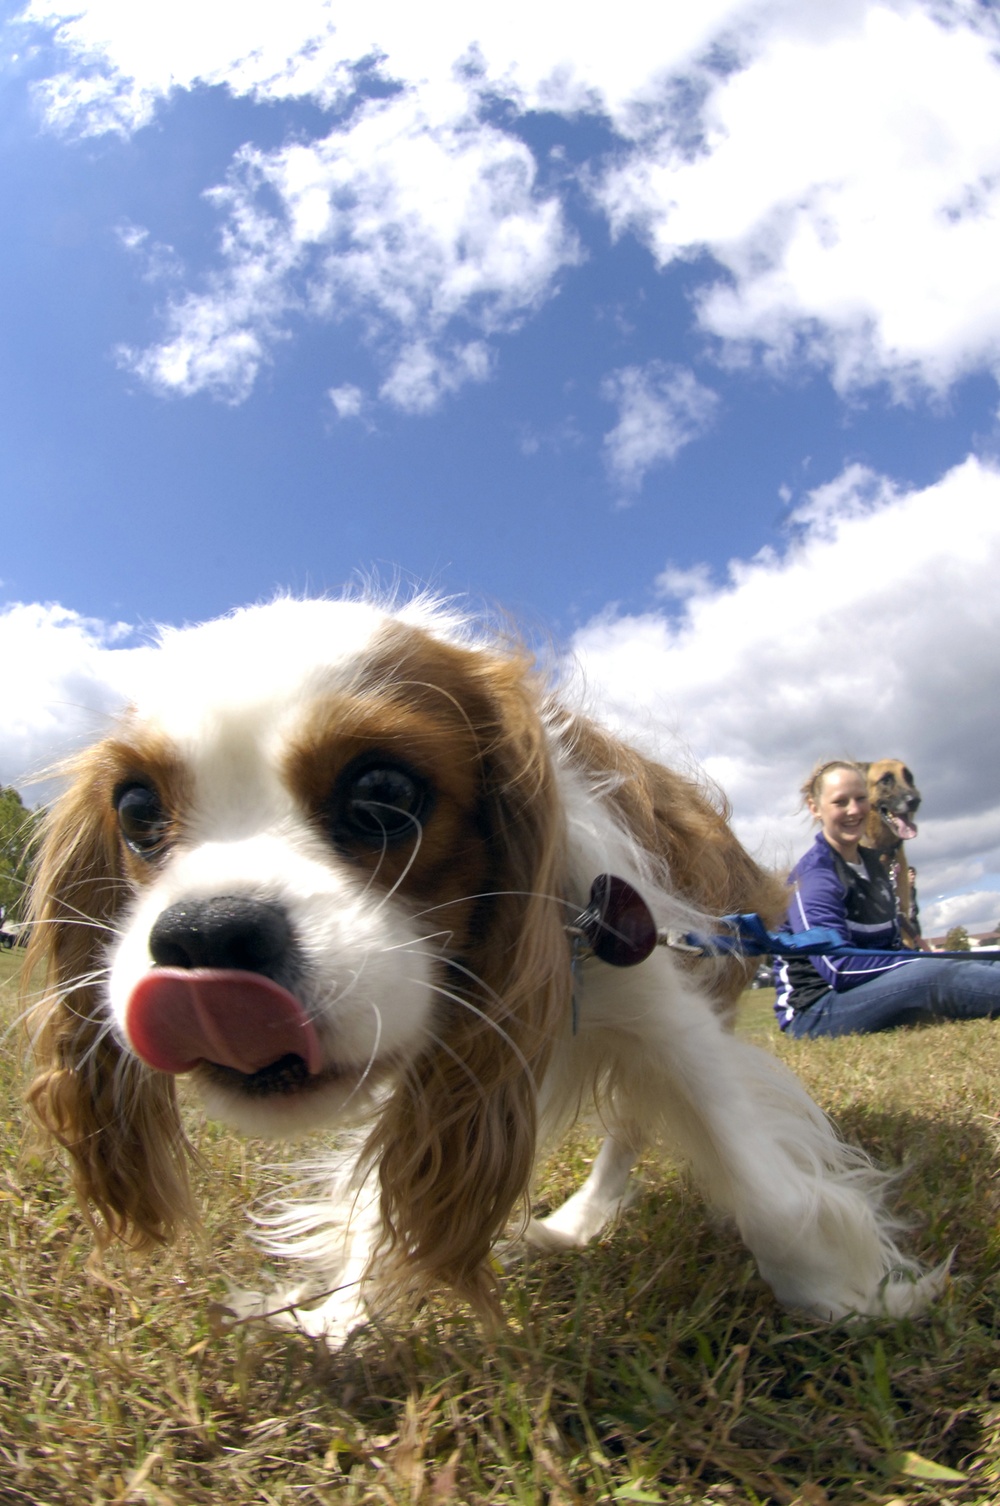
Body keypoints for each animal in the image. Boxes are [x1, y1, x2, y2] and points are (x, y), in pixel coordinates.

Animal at [25, 593, 945, 1349]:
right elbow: (380, 1198)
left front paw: (856, 1299)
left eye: (384, 793)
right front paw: (340, 1320)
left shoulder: (657, 1003)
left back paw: (581, 1219)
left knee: (631, 1127)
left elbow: (770, 1189)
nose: (206, 936)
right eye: (136, 810)